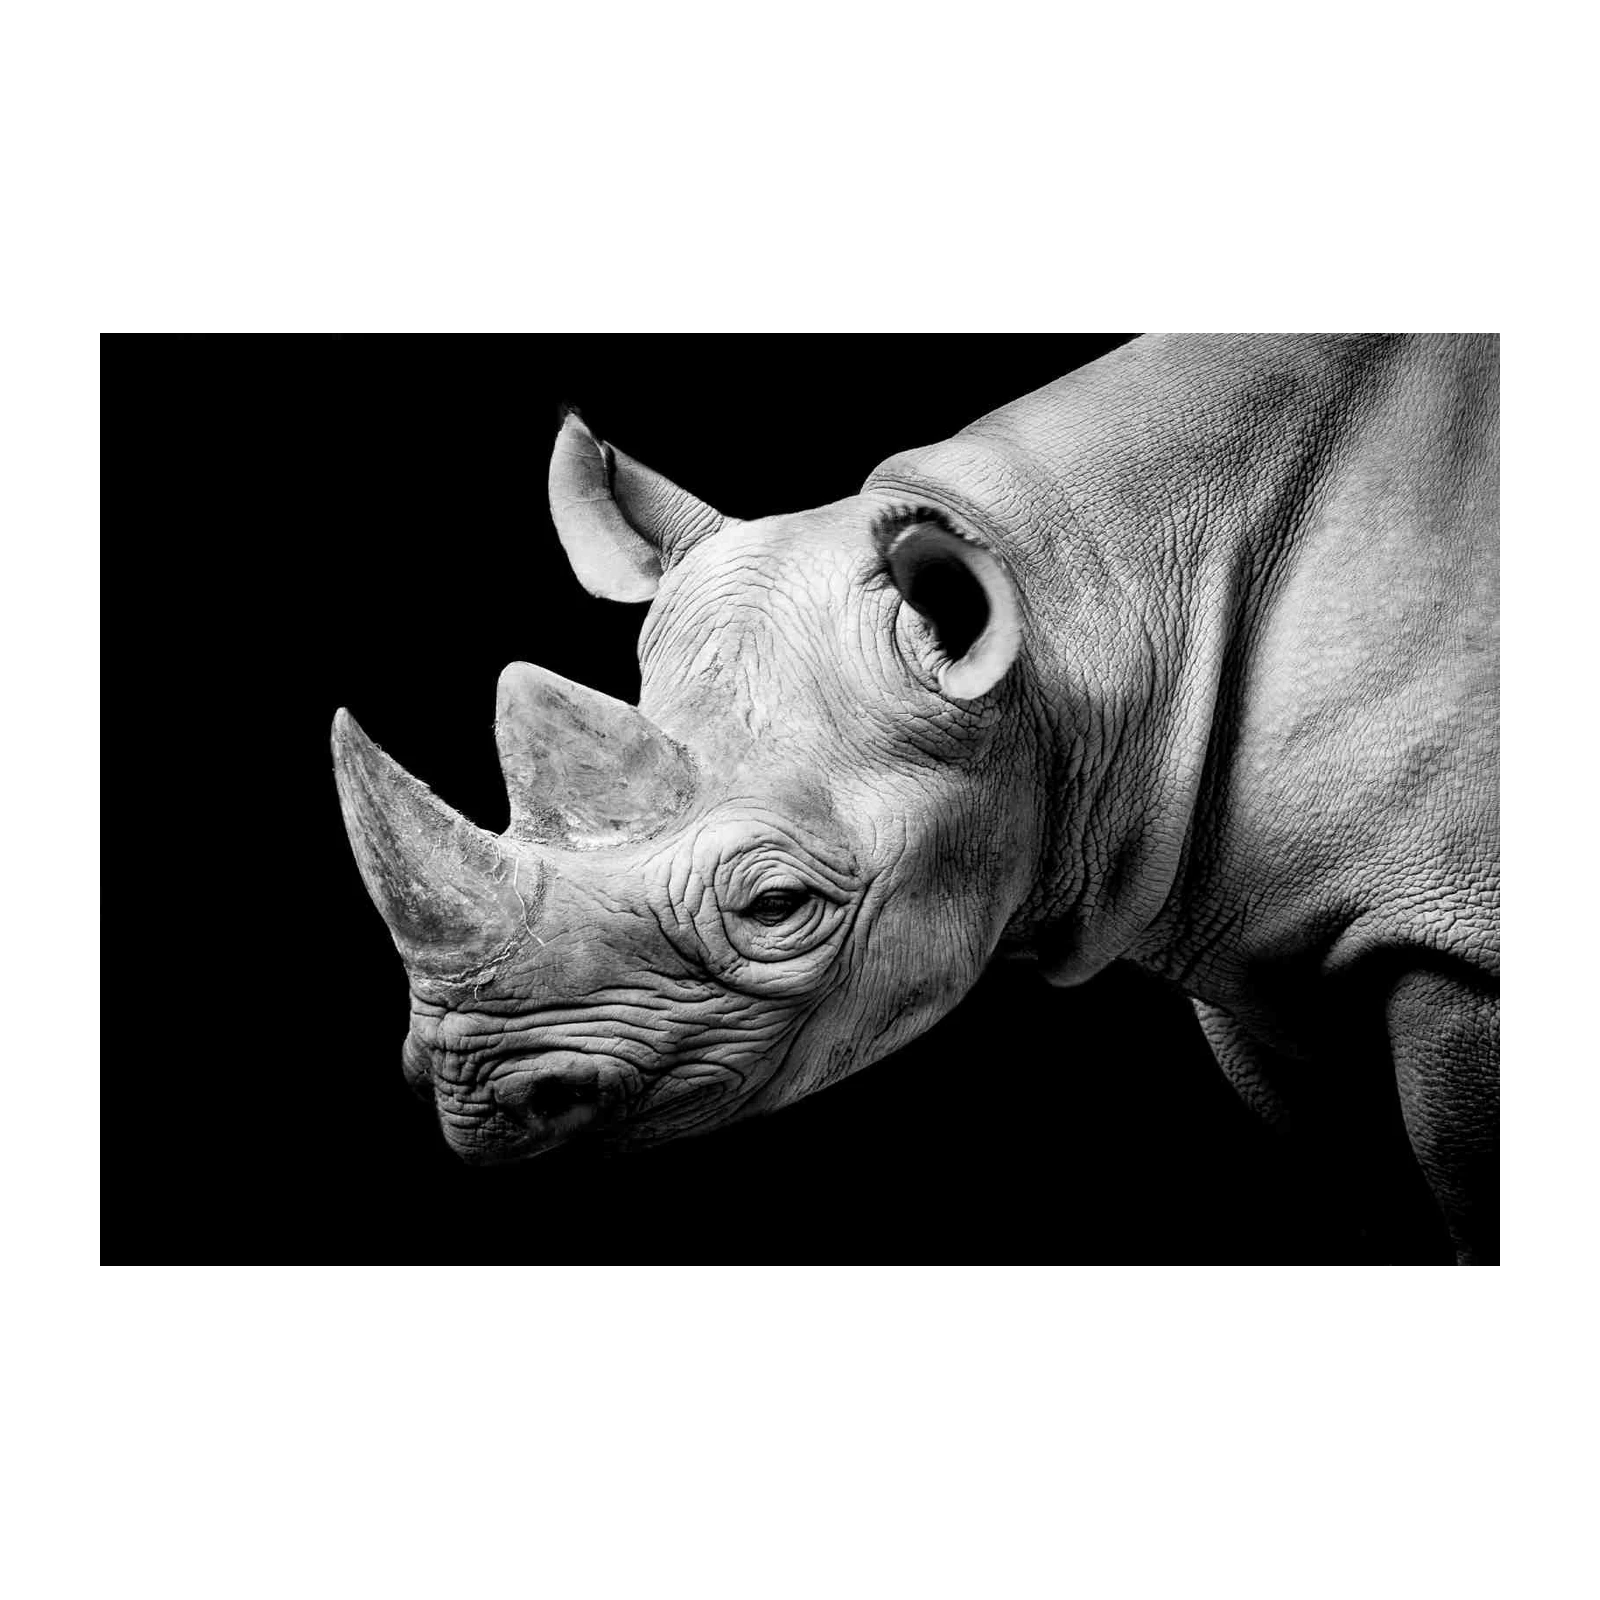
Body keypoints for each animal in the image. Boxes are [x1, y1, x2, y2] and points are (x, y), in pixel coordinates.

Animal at [333, 328, 1503, 1270]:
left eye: (776, 907)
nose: (473, 1097)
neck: (1073, 606)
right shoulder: (1256, 937)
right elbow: (1355, 1178)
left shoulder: (1461, 943)